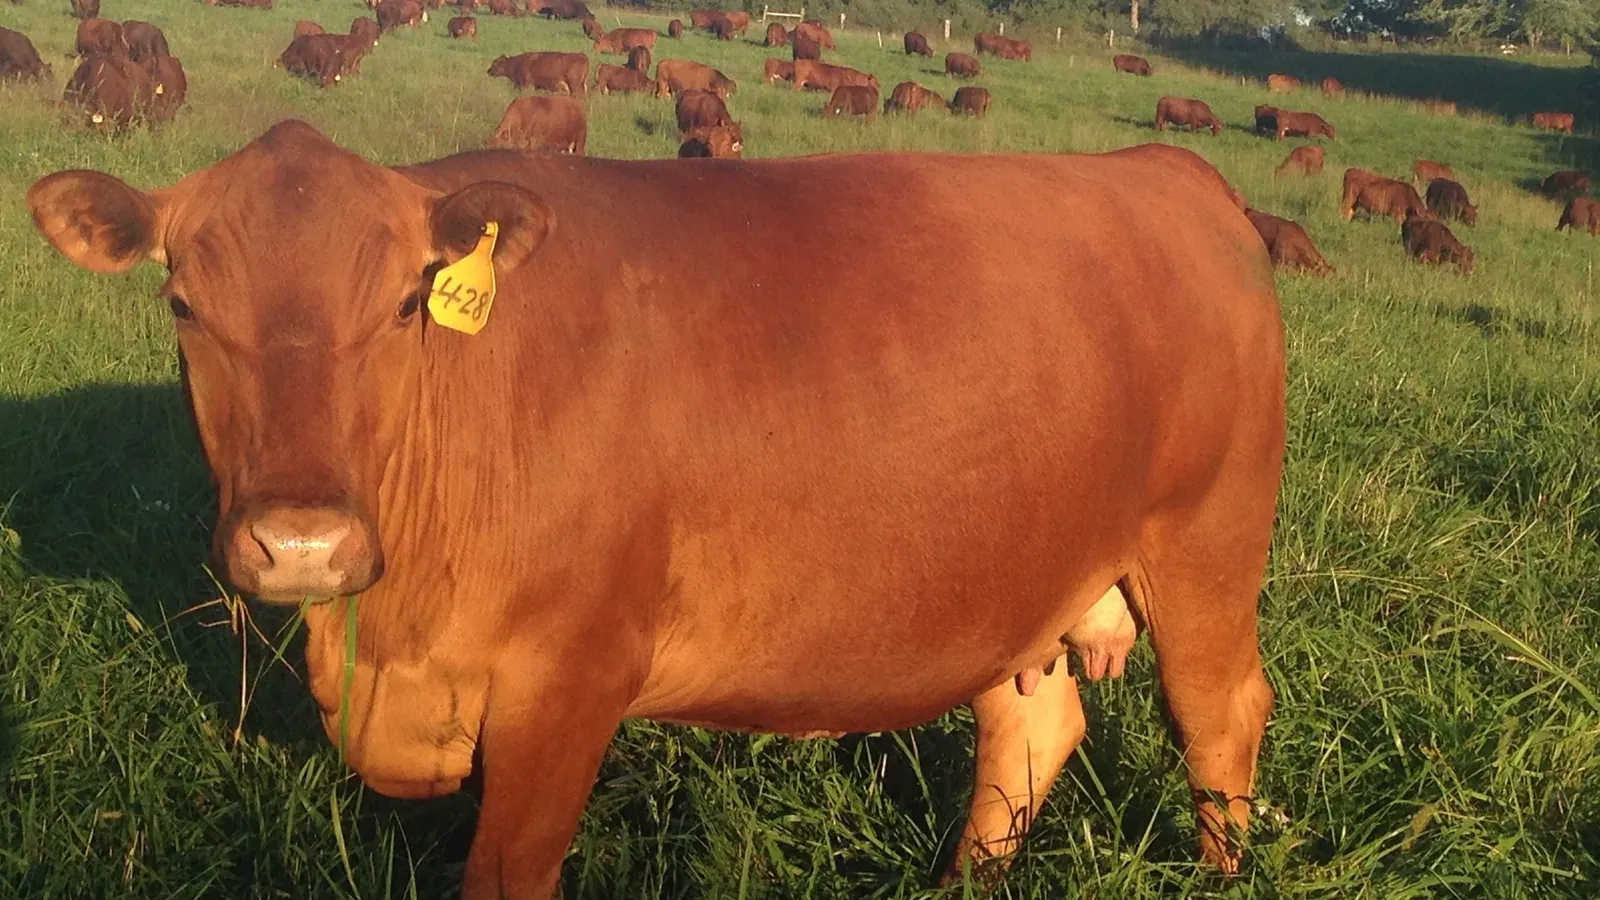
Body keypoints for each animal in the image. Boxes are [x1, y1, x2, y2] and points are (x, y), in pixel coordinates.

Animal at [27, 120, 1283, 900]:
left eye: (404, 307)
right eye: (184, 305)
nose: (302, 542)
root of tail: (1164, 169)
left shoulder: (568, 681)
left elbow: (509, 871)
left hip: (1206, 546)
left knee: (1218, 719)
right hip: (1017, 575)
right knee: (1028, 730)